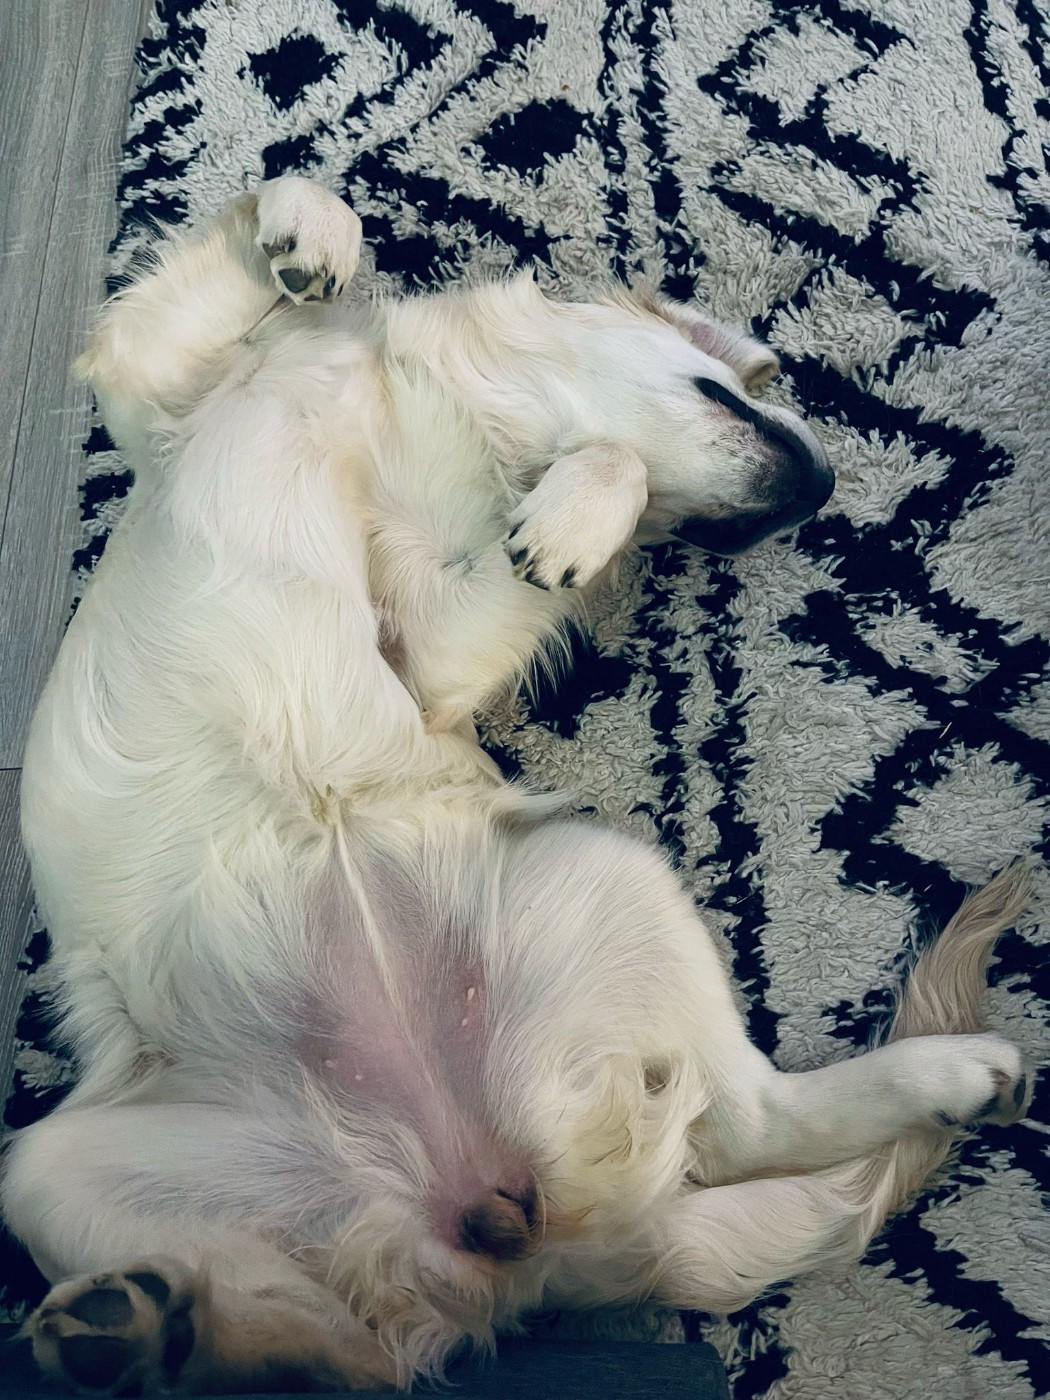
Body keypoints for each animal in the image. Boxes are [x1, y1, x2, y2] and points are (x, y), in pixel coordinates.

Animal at [3, 176, 1031, 1394]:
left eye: (686, 530)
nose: (811, 493)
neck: (463, 420)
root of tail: (502, 1222)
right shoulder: (158, 398)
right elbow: (267, 222)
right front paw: (313, 240)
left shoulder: (425, 661)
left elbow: (602, 469)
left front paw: (575, 515)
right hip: (58, 1169)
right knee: (349, 1348)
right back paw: (144, 1327)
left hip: (610, 877)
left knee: (744, 1124)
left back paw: (959, 1069)